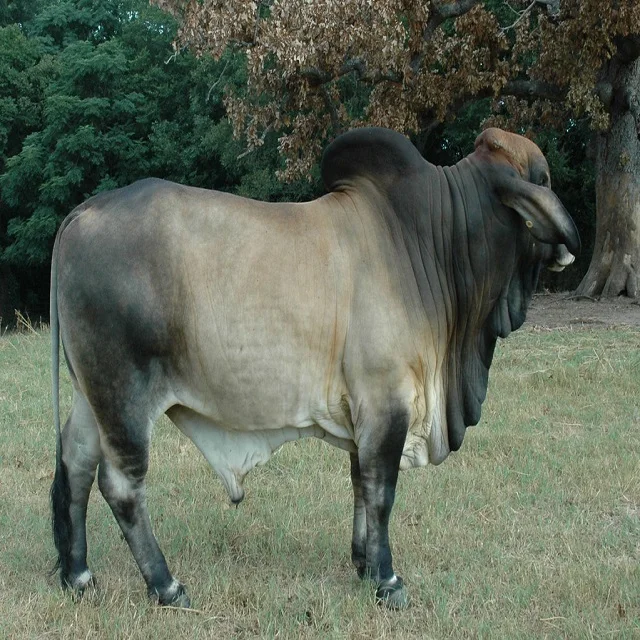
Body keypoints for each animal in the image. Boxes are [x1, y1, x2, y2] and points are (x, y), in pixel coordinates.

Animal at [50, 127, 579, 609]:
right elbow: (382, 490)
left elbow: (361, 483)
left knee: (75, 462)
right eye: (544, 178)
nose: (566, 250)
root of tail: (83, 212)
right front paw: (387, 580)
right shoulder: (387, 401)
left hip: (91, 393)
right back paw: (166, 586)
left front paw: (363, 563)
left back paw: (78, 576)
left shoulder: (366, 411)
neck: (429, 239)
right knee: (122, 485)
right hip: (123, 392)